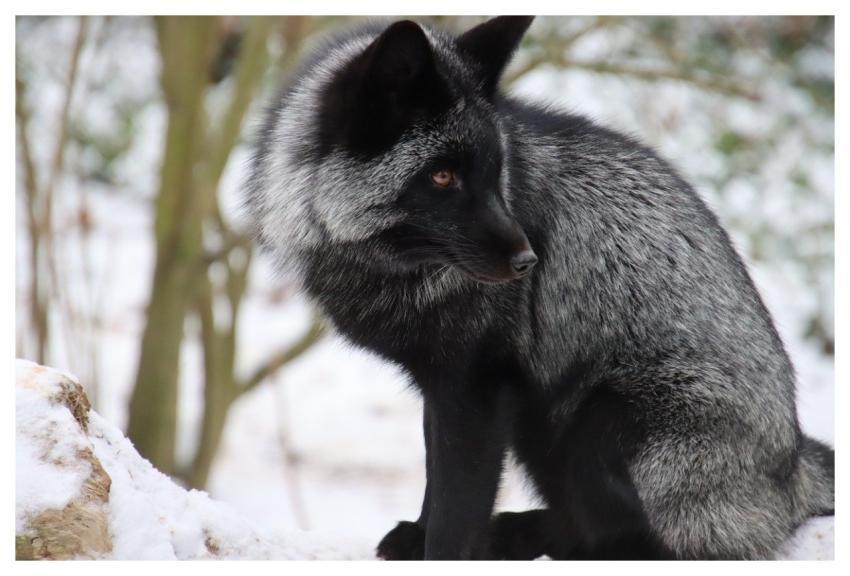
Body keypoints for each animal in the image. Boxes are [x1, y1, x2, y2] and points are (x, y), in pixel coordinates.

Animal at [244, 16, 834, 559]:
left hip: (605, 419)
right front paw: (420, 535)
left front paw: (443, 550)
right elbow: (437, 477)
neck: (387, 265)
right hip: (540, 425)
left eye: (496, 172)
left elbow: (457, 508)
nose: (528, 261)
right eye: (442, 176)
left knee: (641, 540)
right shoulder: (445, 385)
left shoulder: (480, 386)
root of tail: (795, 469)